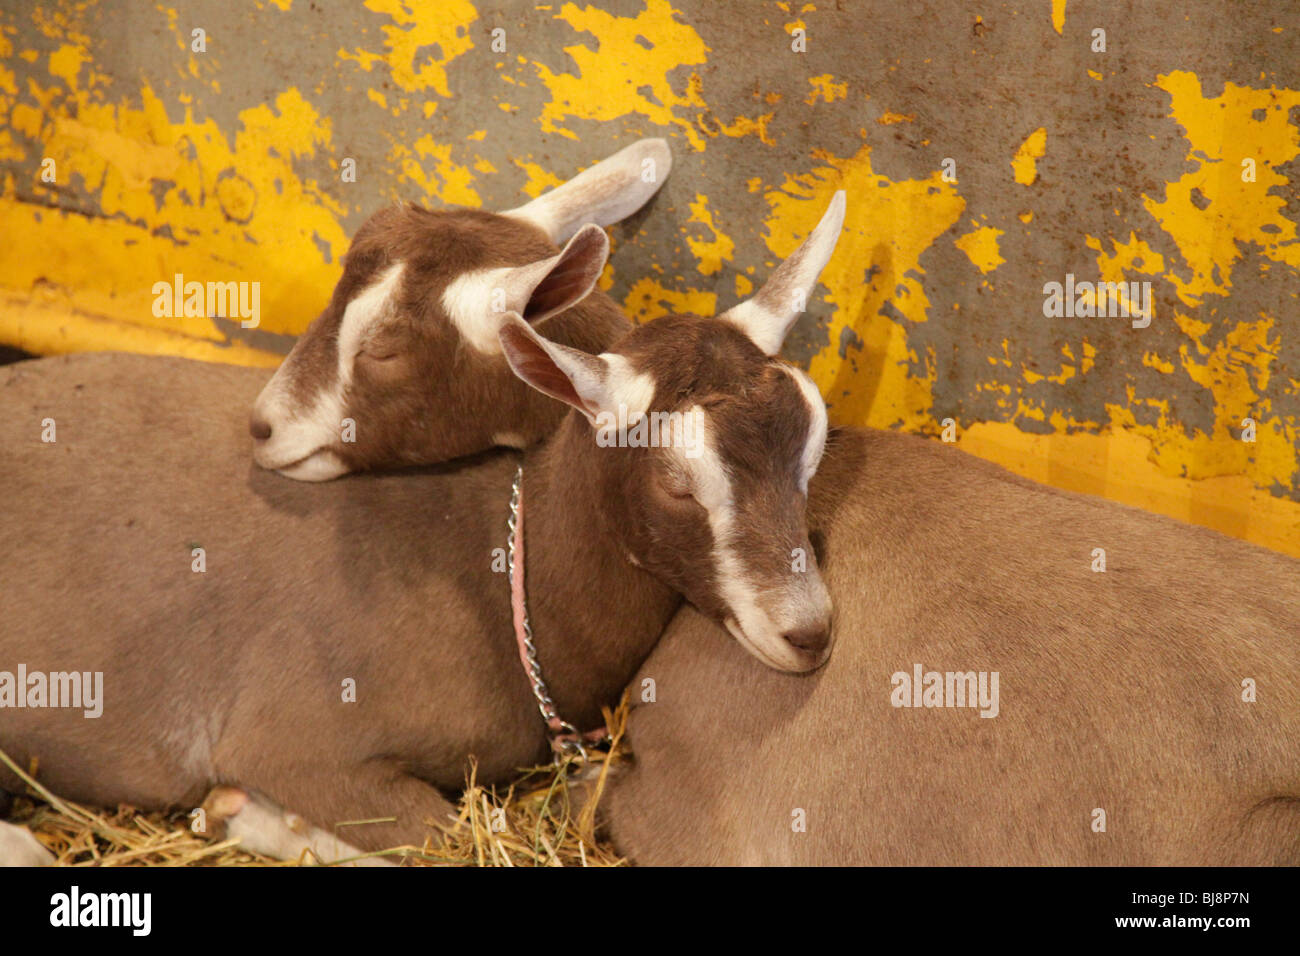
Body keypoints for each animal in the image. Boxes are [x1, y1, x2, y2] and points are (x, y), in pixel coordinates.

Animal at [0, 192, 852, 858]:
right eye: (678, 485)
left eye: (814, 447)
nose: (808, 632)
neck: (507, 570)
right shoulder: (299, 740)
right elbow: (442, 840)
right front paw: (247, 813)